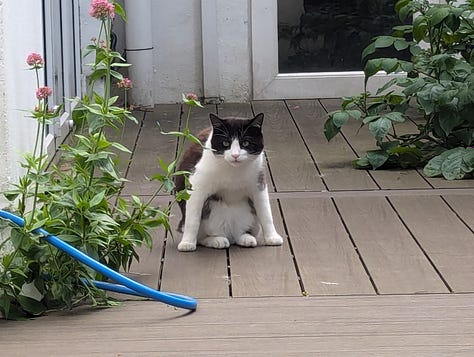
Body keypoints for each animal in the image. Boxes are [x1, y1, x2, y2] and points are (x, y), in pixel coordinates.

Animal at [175, 112, 284, 250]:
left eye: (246, 143)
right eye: (226, 143)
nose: (235, 155)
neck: (233, 172)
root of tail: (229, 235)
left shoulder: (259, 184)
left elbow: (266, 214)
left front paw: (272, 237)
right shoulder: (196, 186)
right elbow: (192, 220)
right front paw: (187, 243)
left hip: (252, 220)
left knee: (241, 233)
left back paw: (245, 238)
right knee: (200, 235)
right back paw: (216, 240)